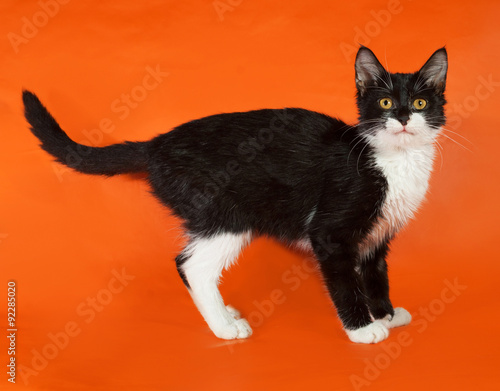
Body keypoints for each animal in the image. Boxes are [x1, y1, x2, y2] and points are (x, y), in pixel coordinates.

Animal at [21, 46, 448, 344]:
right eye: (385, 102)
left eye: (421, 102)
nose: (404, 117)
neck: (395, 161)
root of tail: (156, 145)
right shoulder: (330, 232)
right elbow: (344, 279)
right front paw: (363, 329)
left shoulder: (380, 232)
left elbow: (375, 273)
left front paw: (386, 314)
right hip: (227, 214)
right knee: (191, 265)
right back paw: (224, 328)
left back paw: (225, 314)